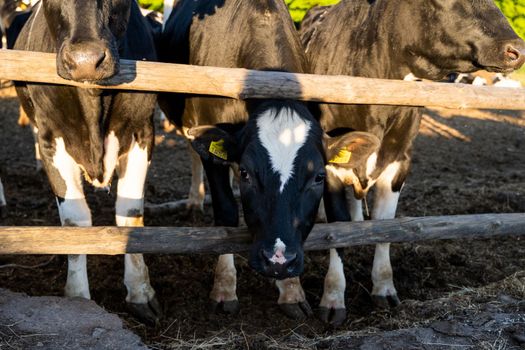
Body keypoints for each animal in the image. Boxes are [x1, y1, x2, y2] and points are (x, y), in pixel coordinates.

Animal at [14, 0, 162, 324]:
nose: (85, 60)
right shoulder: (51, 139)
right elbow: (75, 220)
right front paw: (78, 299)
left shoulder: (142, 131)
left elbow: (130, 213)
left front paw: (140, 292)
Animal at [158, 0, 378, 318]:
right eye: (247, 173)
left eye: (318, 177)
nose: (278, 259)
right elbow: (226, 211)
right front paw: (225, 289)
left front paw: (296, 292)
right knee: (193, 152)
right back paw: (194, 200)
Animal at [298, 0, 524, 326]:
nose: (517, 49)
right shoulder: (331, 166)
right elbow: (335, 234)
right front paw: (332, 298)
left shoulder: (399, 162)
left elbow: (386, 227)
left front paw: (384, 289)